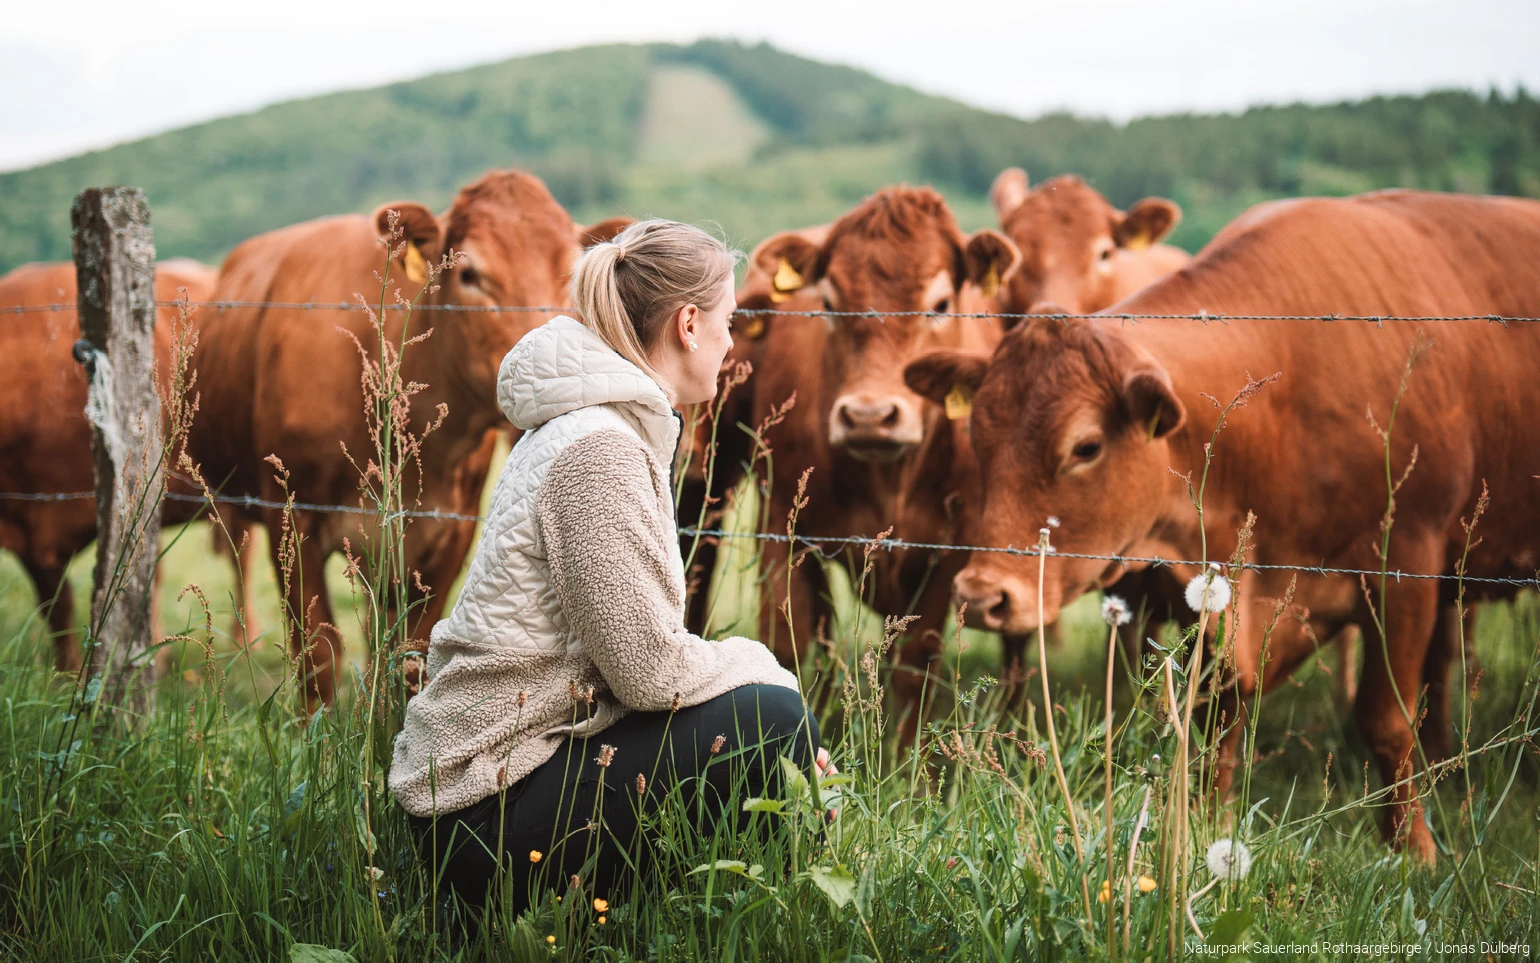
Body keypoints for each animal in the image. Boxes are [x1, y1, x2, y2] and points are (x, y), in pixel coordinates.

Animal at [904, 188, 1540, 862]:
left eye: (1086, 447)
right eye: (978, 436)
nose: (980, 596)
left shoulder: (1408, 565)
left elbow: (1387, 720)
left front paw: (1411, 850)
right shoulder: (1209, 595)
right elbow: (1217, 723)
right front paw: (1209, 824)